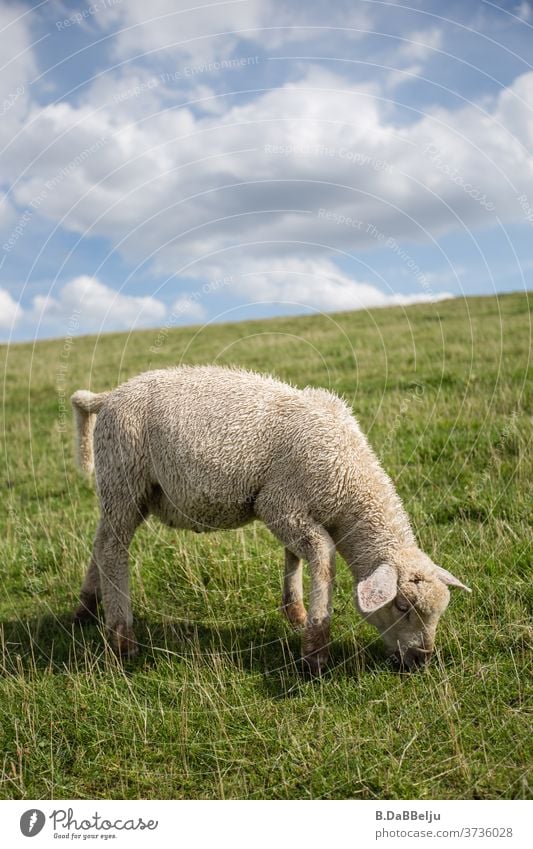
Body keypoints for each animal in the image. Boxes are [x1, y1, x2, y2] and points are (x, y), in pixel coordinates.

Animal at [71, 368, 470, 672]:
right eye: (402, 607)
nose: (422, 660)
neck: (347, 482)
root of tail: (109, 396)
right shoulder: (278, 504)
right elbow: (323, 557)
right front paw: (315, 652)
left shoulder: (293, 510)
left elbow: (295, 556)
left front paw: (295, 612)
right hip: (124, 479)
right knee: (113, 550)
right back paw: (122, 639)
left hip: (125, 490)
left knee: (101, 541)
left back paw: (86, 609)